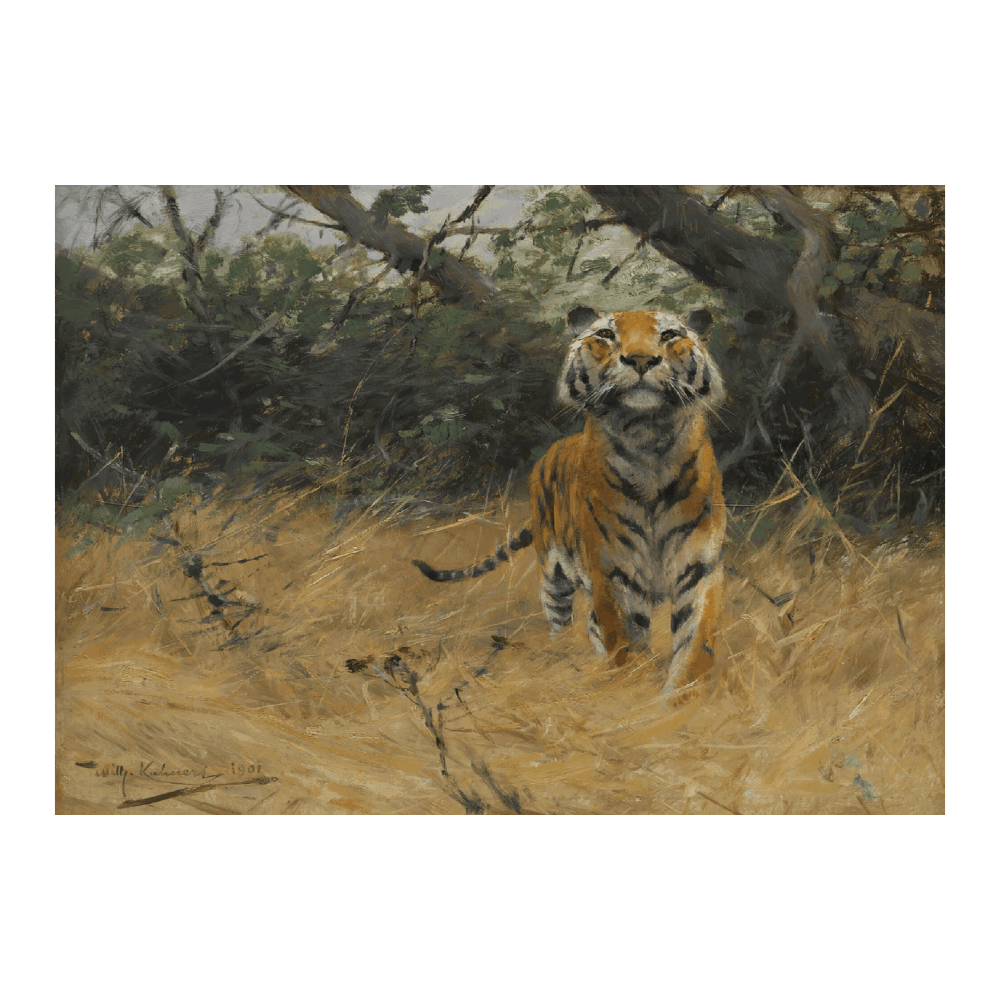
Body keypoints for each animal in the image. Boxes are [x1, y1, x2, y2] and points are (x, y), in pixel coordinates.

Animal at [413, 306, 727, 694]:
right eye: (606, 334)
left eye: (669, 335)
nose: (640, 359)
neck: (648, 438)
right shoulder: (613, 568)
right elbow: (626, 637)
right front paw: (634, 689)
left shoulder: (699, 565)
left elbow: (695, 641)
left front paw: (681, 697)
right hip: (553, 577)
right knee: (562, 620)